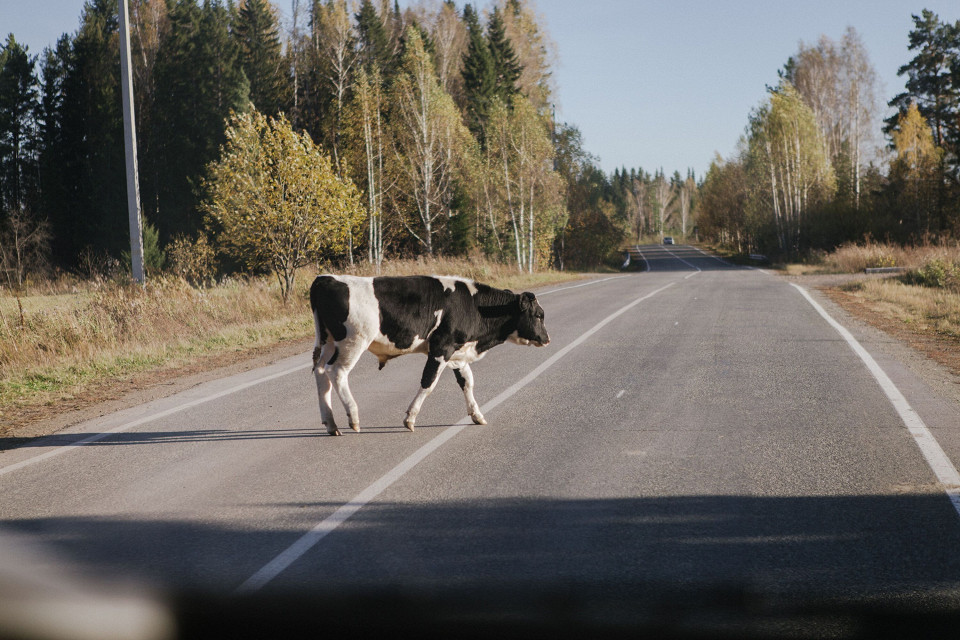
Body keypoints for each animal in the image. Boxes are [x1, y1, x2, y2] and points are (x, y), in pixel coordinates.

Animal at [309, 274, 550, 436]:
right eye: (539, 315)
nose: (547, 339)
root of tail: (326, 279)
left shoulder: (457, 352)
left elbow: (467, 382)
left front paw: (477, 415)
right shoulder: (441, 348)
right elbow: (429, 382)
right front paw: (410, 418)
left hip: (327, 342)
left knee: (320, 372)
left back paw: (331, 423)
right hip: (353, 342)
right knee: (336, 372)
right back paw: (353, 417)